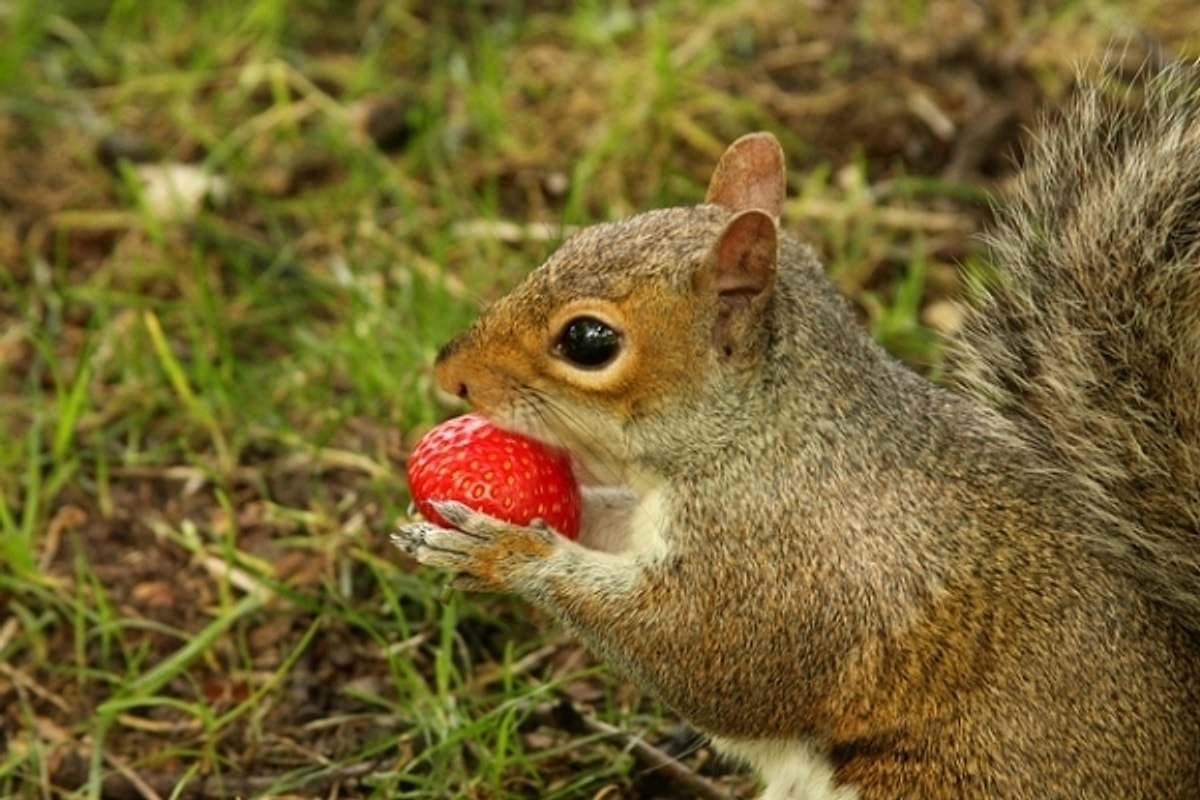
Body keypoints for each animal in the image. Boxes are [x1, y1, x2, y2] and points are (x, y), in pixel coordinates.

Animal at [396, 61, 1200, 799]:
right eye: (580, 236)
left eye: (589, 341)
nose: (448, 371)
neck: (763, 436)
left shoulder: (785, 572)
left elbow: (699, 655)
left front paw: (507, 553)